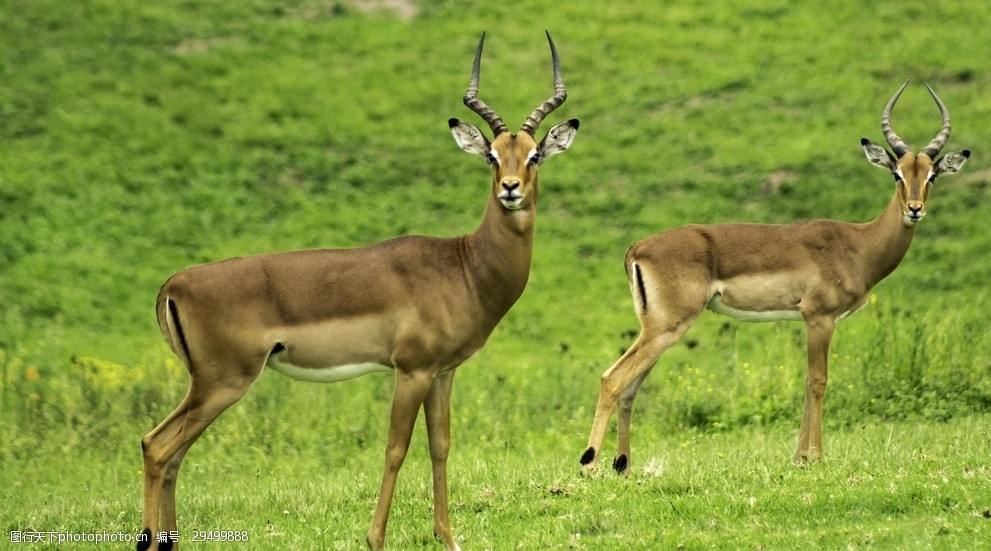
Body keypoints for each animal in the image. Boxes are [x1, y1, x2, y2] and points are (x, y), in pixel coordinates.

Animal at [136, 32, 576, 548]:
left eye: (533, 155)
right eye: (492, 155)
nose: (510, 188)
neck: (463, 265)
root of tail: (173, 285)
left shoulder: (442, 373)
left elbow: (441, 446)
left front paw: (448, 537)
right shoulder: (410, 371)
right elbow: (395, 449)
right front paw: (375, 538)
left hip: (207, 387)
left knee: (172, 452)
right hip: (221, 383)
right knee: (157, 445)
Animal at [580, 81, 968, 474]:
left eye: (931, 174)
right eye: (897, 174)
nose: (915, 209)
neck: (858, 245)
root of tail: (636, 249)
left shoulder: (810, 321)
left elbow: (806, 383)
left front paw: (799, 458)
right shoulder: (820, 318)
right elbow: (818, 381)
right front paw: (816, 457)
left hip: (658, 331)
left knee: (629, 387)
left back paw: (623, 465)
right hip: (666, 328)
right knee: (612, 378)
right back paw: (589, 464)